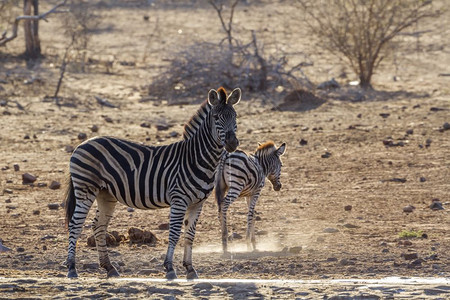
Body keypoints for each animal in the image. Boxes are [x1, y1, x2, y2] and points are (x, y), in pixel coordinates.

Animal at [64, 86, 241, 278]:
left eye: (235, 117)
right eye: (216, 117)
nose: (232, 143)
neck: (196, 158)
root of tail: (82, 144)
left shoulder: (197, 203)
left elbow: (190, 235)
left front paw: (190, 268)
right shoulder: (179, 200)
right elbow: (174, 233)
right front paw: (170, 268)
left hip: (106, 194)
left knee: (99, 226)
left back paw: (109, 268)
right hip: (85, 189)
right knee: (75, 224)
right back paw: (72, 268)